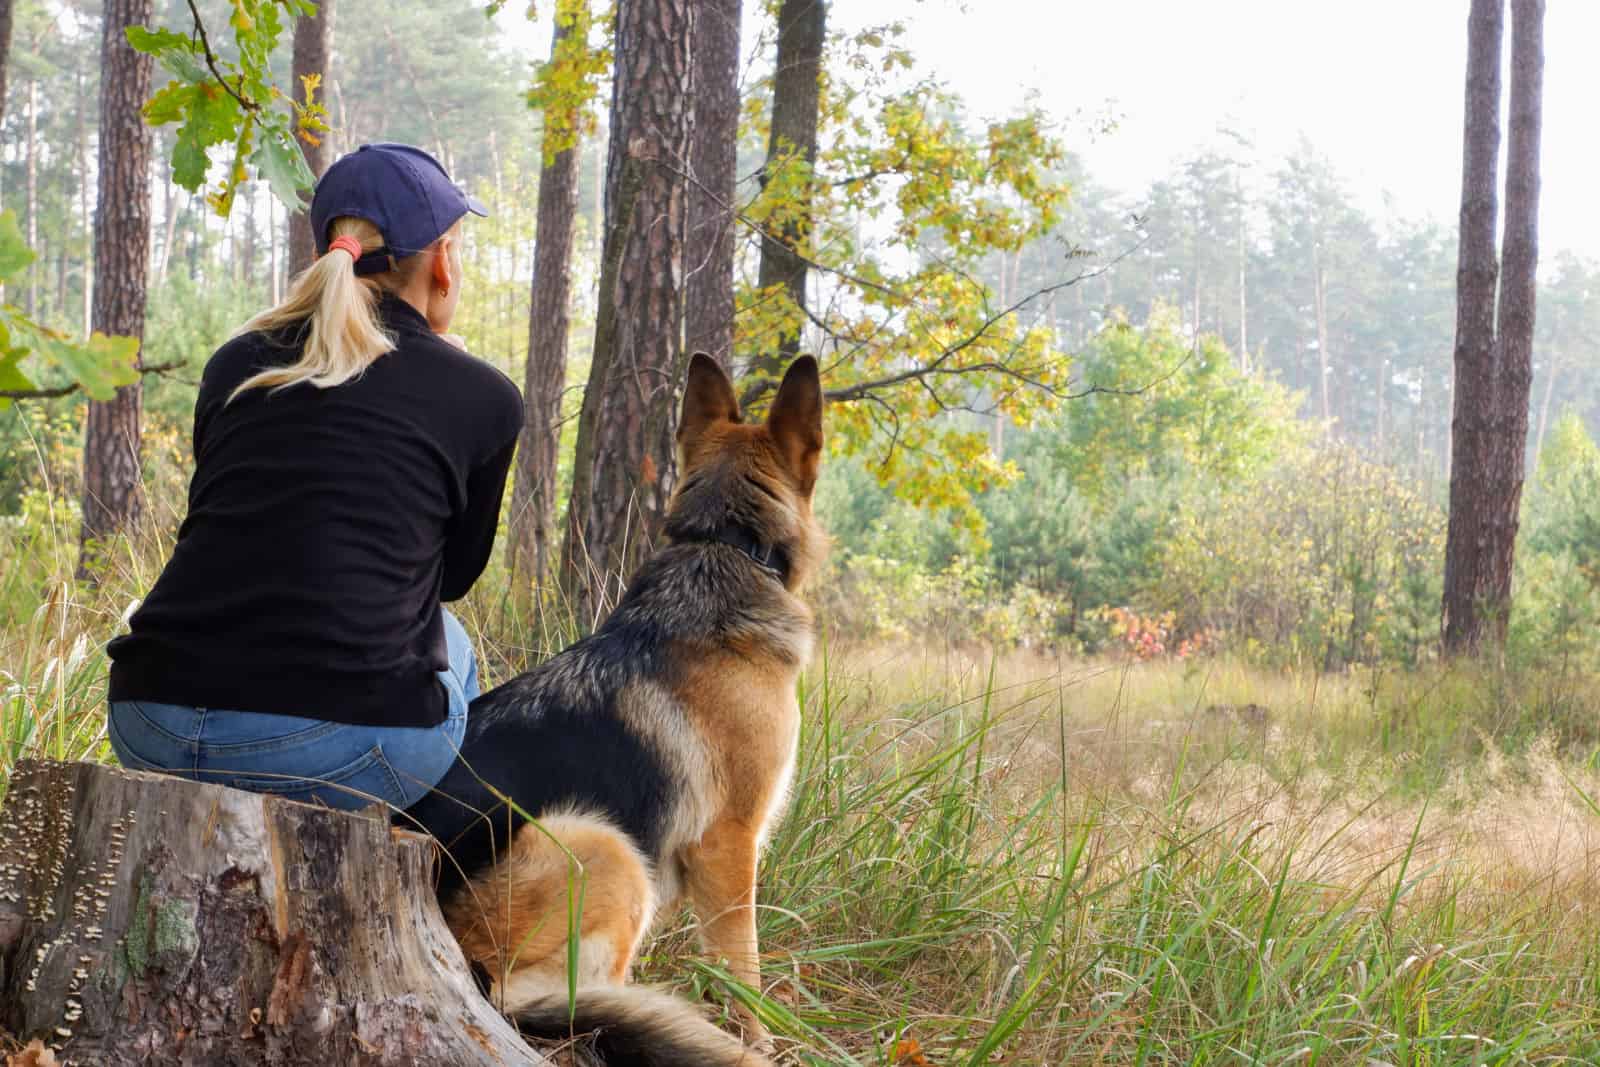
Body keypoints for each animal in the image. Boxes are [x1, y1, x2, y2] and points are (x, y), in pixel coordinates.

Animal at [398, 355, 825, 1062]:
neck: (724, 545)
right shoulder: (729, 846)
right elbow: (743, 968)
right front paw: (760, 1041)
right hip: (607, 847)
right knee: (567, 997)